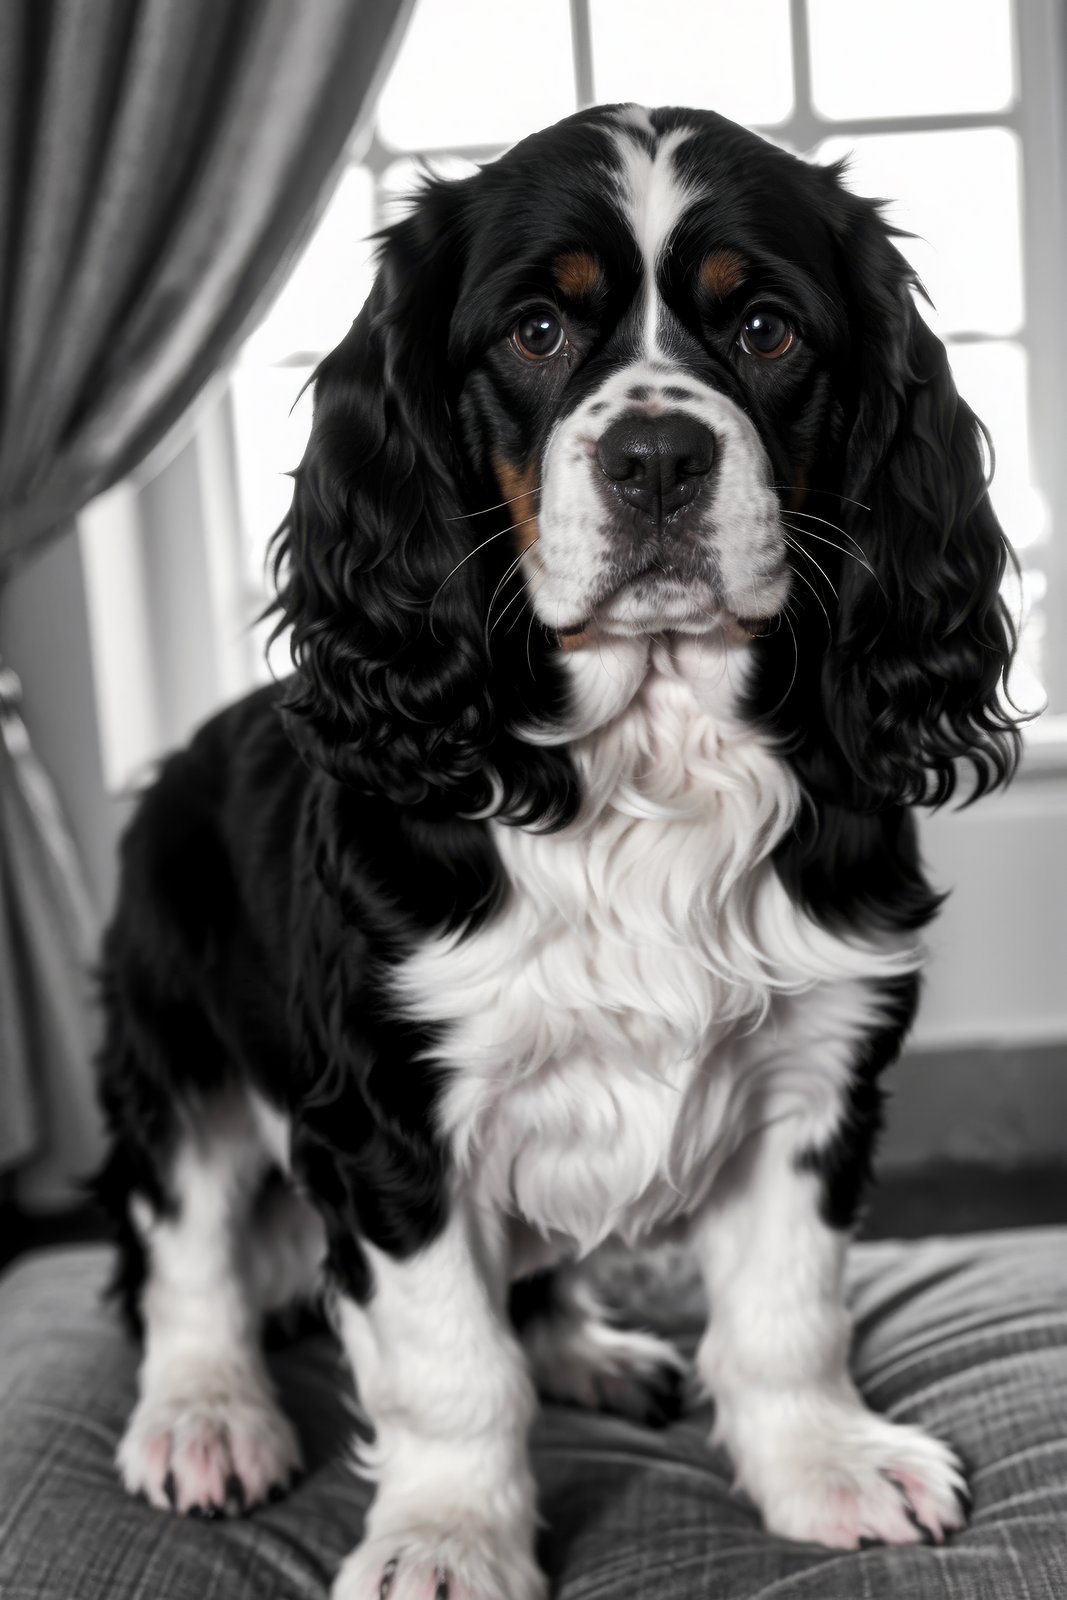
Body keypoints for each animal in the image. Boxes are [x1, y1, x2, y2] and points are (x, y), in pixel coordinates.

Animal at [97, 106, 1017, 1593]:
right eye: (534, 331)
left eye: (763, 327)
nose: (655, 459)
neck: (647, 756)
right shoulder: (387, 1120)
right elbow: (447, 1365)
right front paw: (446, 1538)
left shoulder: (816, 1073)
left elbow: (788, 1309)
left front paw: (822, 1462)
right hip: (169, 1040)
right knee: (183, 1253)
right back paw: (205, 1415)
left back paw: (585, 1350)